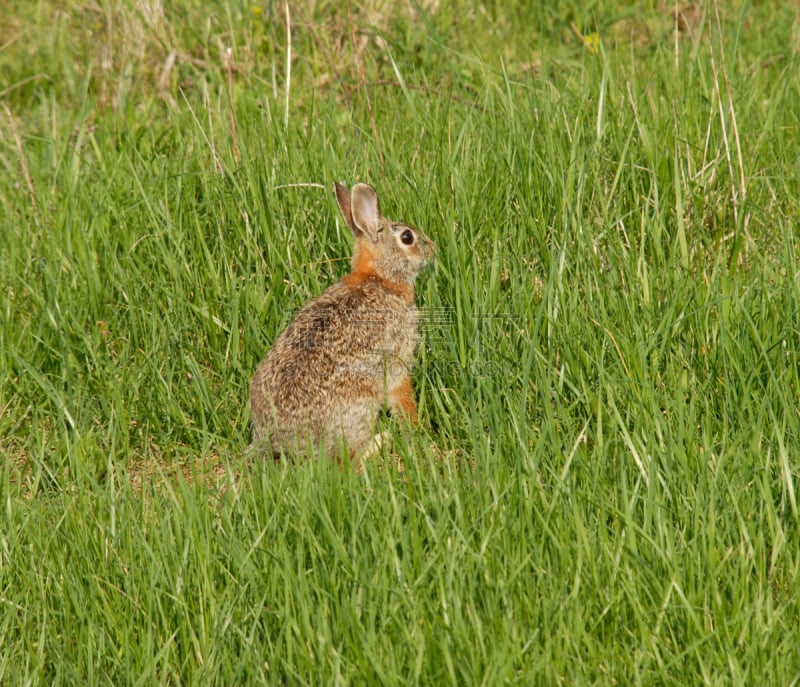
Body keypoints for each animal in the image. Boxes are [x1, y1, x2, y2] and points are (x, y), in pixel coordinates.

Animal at [250, 181, 438, 462]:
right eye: (407, 237)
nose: (433, 248)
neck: (380, 278)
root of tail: (282, 440)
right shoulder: (397, 358)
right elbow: (400, 393)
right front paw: (416, 426)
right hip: (360, 401)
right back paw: (381, 441)